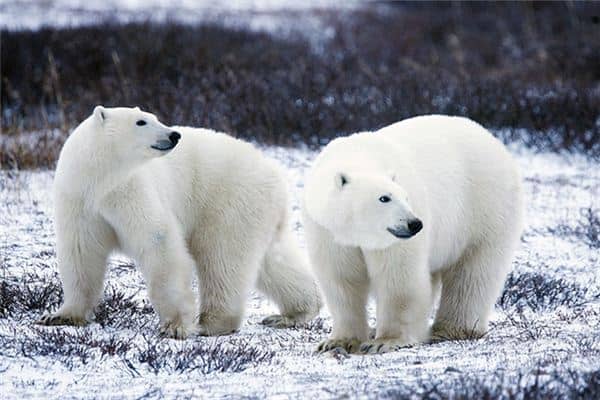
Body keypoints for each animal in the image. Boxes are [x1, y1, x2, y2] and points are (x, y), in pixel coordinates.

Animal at [39, 106, 322, 338]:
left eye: (154, 117)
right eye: (141, 121)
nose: (174, 135)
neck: (100, 179)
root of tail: (275, 173)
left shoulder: (131, 190)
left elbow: (159, 241)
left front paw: (175, 326)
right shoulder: (79, 200)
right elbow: (81, 253)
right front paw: (61, 315)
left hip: (229, 200)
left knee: (221, 257)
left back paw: (212, 322)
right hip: (257, 211)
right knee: (273, 261)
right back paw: (294, 313)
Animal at [302, 115, 524, 354]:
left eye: (405, 197)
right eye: (384, 198)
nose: (415, 224)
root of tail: (493, 139)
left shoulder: (394, 241)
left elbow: (399, 278)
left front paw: (385, 341)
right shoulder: (327, 231)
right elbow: (341, 280)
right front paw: (337, 342)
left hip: (485, 209)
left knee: (473, 273)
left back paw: (450, 329)